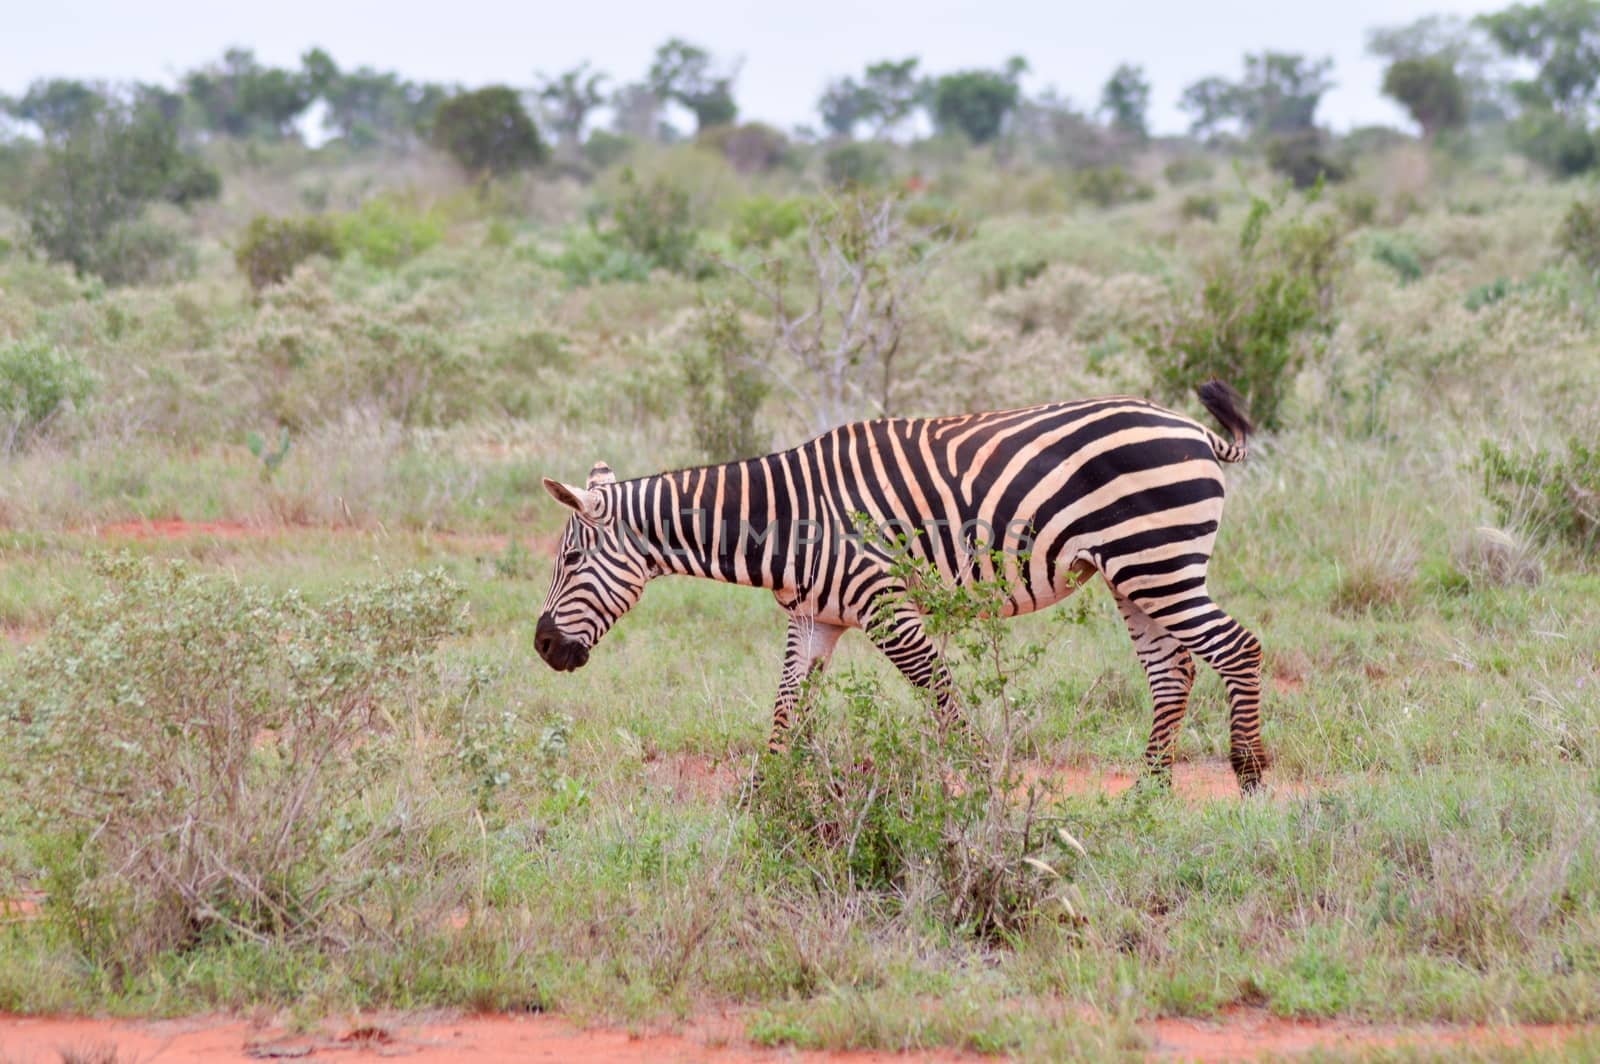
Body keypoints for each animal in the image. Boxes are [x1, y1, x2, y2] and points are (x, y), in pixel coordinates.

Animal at [540, 379, 1273, 787]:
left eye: (570, 562)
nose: (543, 647)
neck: (784, 519)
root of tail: (1196, 431)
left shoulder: (885, 606)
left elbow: (941, 696)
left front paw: (984, 786)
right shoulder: (815, 617)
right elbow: (785, 710)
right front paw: (763, 799)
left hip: (1159, 561)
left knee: (1238, 647)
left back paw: (1248, 773)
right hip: (1133, 574)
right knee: (1174, 672)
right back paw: (1148, 793)